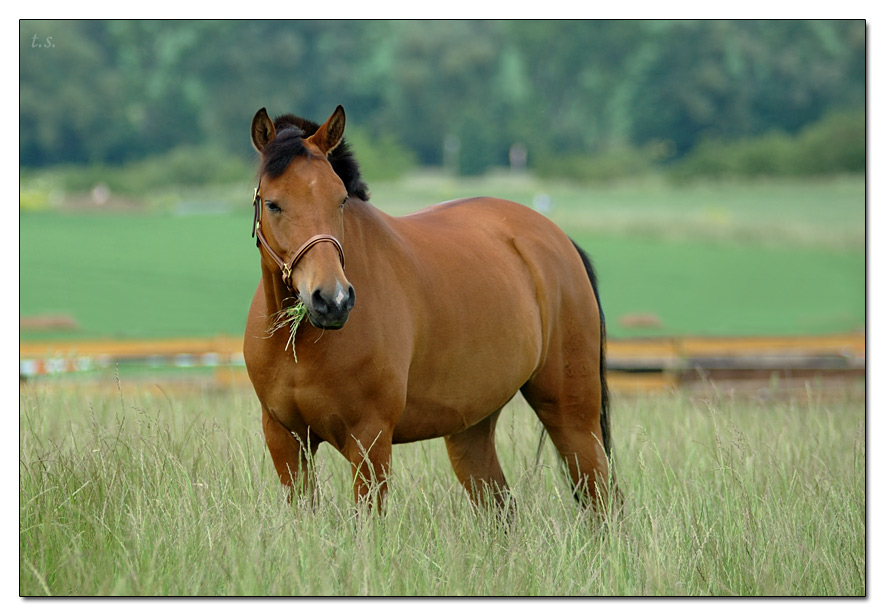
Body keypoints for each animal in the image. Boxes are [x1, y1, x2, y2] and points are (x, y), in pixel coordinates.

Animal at [243, 108, 616, 512]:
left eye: (340, 199)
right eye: (273, 204)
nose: (333, 300)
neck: (300, 344)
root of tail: (558, 239)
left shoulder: (370, 441)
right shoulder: (286, 441)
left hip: (572, 420)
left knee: (605, 501)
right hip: (471, 429)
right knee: (502, 508)